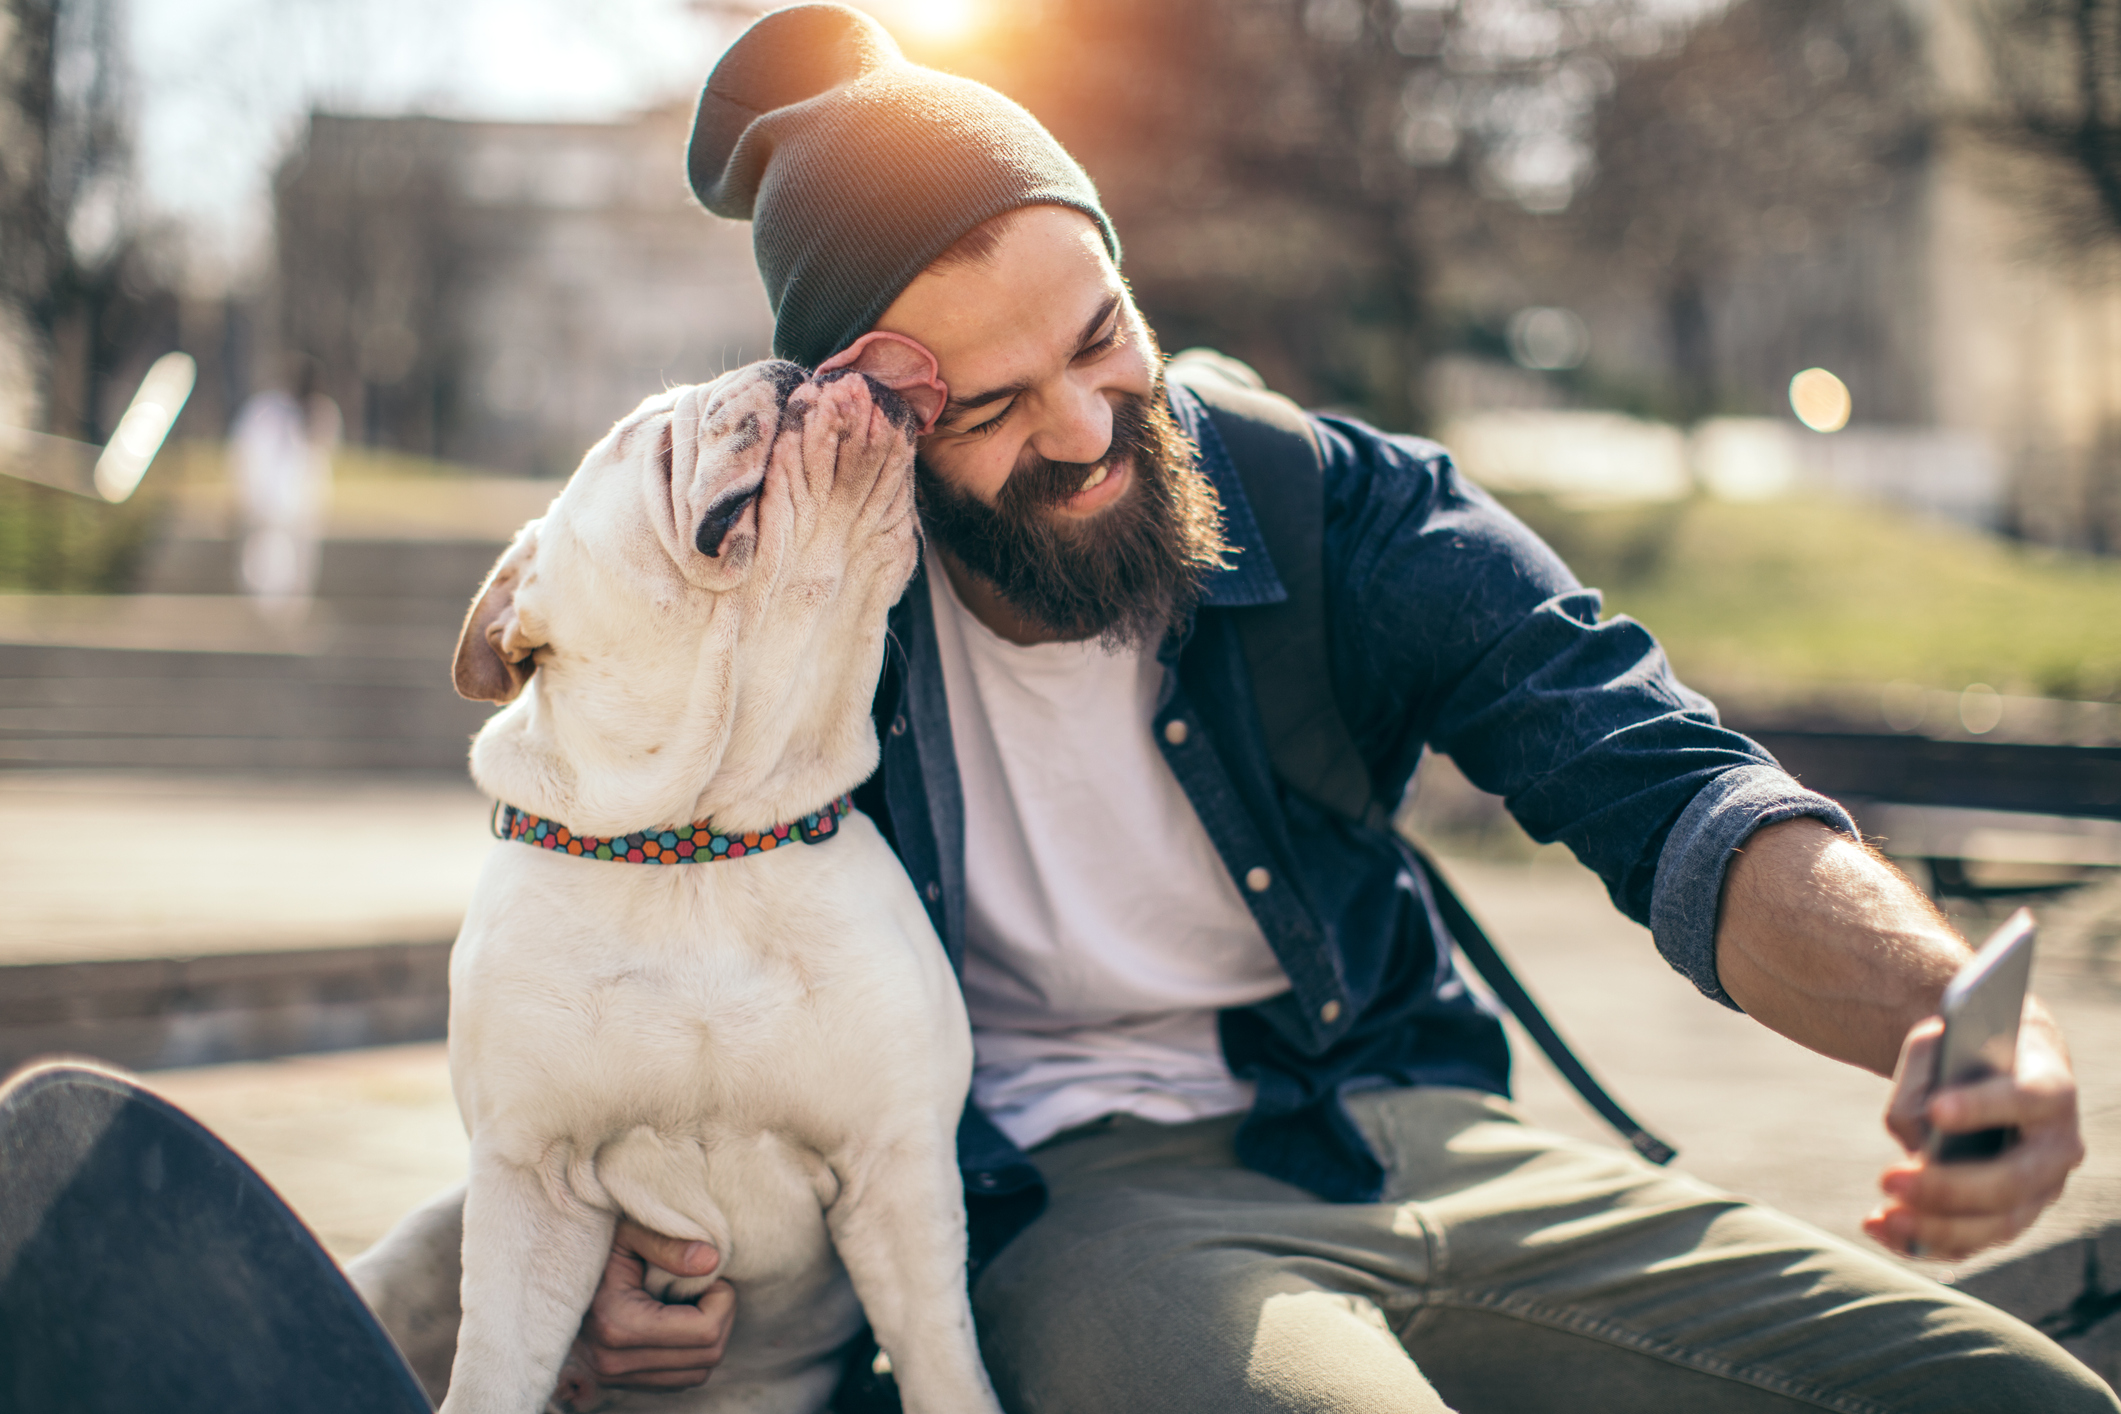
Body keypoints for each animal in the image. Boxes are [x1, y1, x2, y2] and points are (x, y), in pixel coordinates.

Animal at [426, 343, 1005, 1414]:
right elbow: (488, 1374)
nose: (787, 361)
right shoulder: (530, 1180)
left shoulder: (899, 1177)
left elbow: (948, 1370)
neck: (695, 846)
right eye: (642, 430)